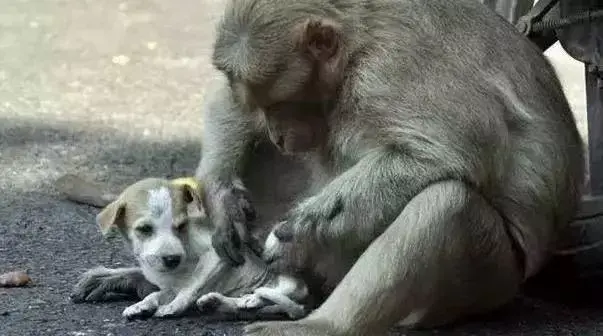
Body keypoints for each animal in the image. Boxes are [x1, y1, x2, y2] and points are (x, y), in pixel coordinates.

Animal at [57, 176, 310, 320]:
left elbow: (191, 286)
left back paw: (250, 299)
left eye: (180, 226)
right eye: (145, 229)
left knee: (272, 297)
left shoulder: (215, 257)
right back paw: (220, 302)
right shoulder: (167, 285)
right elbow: (156, 295)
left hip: (287, 282)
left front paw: (173, 307)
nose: (172, 259)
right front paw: (141, 306)